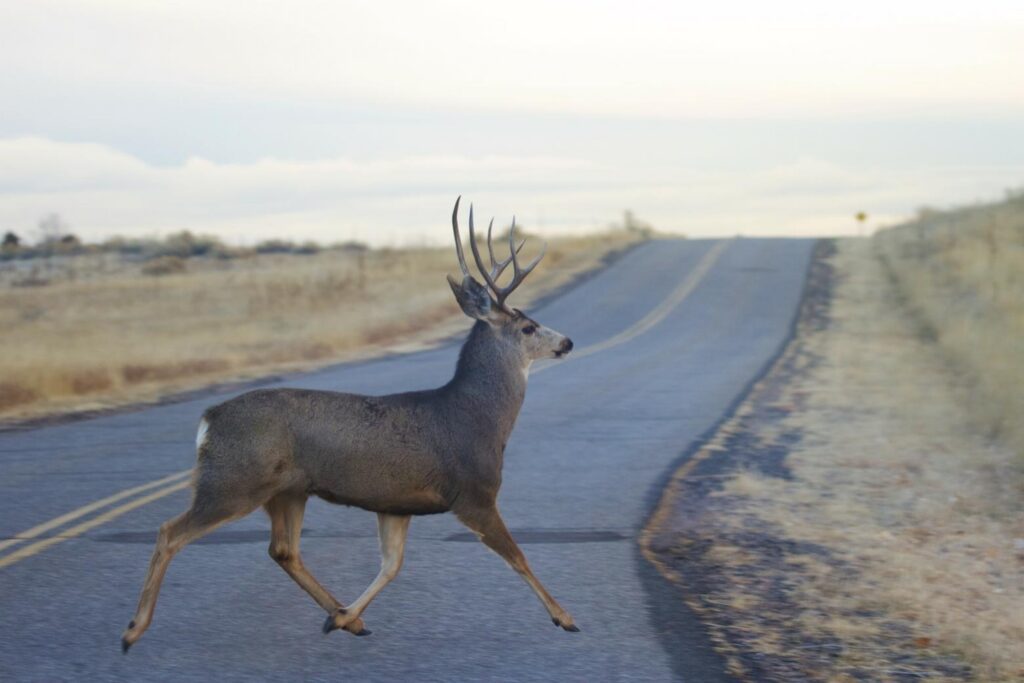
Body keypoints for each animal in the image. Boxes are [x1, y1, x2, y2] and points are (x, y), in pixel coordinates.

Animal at [121, 196, 577, 651]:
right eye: (528, 326)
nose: (567, 342)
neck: (478, 419)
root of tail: (208, 420)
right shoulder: (473, 493)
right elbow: (518, 556)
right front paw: (566, 617)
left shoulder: (396, 503)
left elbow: (392, 565)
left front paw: (344, 617)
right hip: (234, 480)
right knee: (170, 531)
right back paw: (133, 630)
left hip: (287, 490)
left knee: (283, 550)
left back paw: (343, 618)